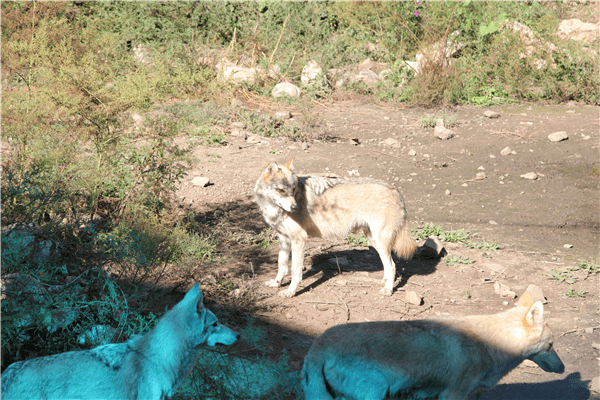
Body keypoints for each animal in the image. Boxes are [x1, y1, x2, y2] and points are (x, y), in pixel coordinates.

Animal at [254, 159, 418, 296]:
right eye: (281, 190)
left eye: (293, 190)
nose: (294, 207)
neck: (273, 210)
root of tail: (396, 190)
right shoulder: (284, 239)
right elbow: (281, 265)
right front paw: (276, 284)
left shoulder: (299, 240)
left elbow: (295, 272)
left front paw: (290, 292)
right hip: (374, 241)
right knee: (388, 264)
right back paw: (385, 281)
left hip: (380, 241)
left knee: (392, 265)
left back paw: (388, 289)